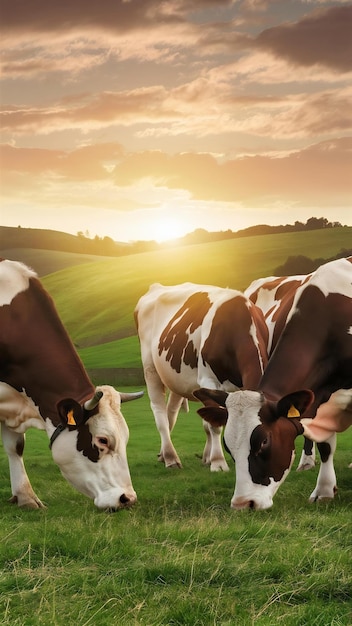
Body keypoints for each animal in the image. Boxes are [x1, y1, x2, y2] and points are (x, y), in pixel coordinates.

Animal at [133, 282, 268, 468]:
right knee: (159, 411)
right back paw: (170, 457)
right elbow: (214, 425)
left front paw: (207, 458)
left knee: (171, 412)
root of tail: (156, 286)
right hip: (150, 368)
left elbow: (208, 421)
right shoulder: (208, 381)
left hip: (177, 378)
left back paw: (163, 455)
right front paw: (218, 462)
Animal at [195, 254, 352, 508]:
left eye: (264, 442)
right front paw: (324, 490)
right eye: (229, 447)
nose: (243, 503)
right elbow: (326, 445)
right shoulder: (320, 398)